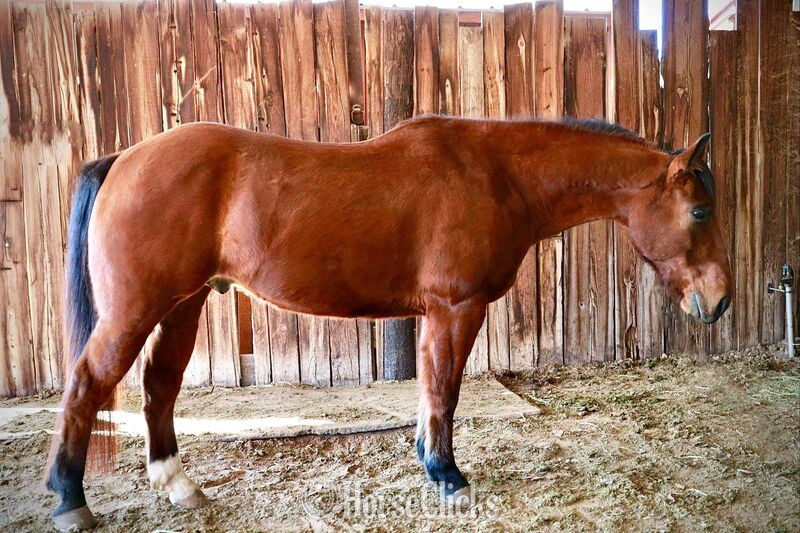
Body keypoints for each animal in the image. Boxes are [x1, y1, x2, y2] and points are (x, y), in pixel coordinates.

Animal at [46, 115, 731, 530]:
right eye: (699, 211)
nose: (720, 301)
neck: (497, 176)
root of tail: (123, 158)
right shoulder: (456, 308)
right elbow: (445, 393)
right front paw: (449, 478)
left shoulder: (440, 314)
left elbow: (432, 393)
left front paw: (434, 466)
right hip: (136, 311)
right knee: (86, 386)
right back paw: (70, 500)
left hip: (181, 306)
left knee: (159, 387)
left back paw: (178, 486)